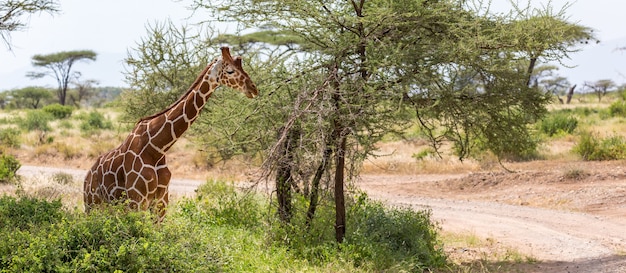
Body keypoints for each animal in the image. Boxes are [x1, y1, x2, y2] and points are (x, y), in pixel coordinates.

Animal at [84, 46, 258, 220]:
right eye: (230, 71)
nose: (253, 88)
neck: (157, 148)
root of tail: (87, 176)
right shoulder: (137, 200)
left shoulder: (161, 201)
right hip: (93, 205)